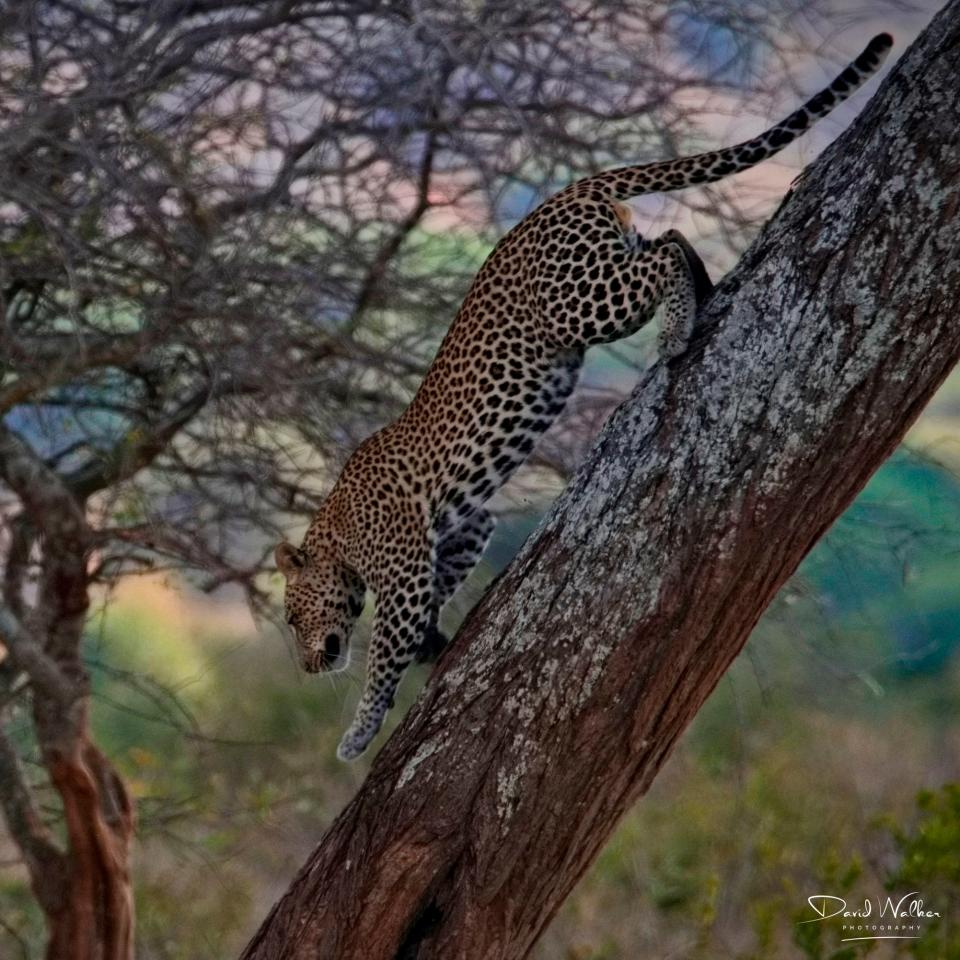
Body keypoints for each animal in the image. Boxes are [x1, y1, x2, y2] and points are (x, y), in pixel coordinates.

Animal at [275, 34, 892, 761]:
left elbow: (381, 654)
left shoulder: (400, 573)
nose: (305, 666)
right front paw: (430, 643)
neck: (334, 528)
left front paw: (360, 730)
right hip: (605, 267)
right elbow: (441, 586)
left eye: (291, 616)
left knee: (663, 259)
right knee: (671, 239)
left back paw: (677, 330)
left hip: (586, 301)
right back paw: (705, 295)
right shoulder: (464, 527)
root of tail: (573, 187)